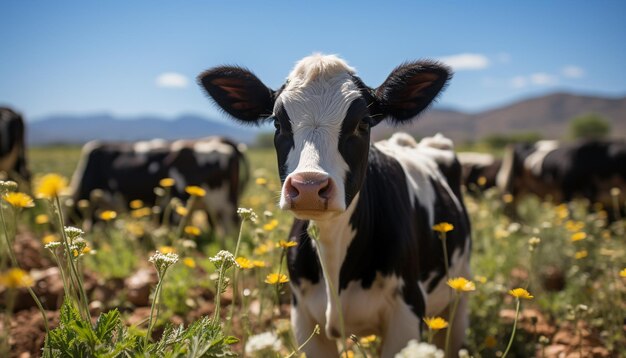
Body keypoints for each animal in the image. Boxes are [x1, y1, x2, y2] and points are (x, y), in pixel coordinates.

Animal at [197, 54, 470, 356]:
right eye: (278, 123)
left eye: (363, 123)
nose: (308, 187)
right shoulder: (303, 316)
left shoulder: (407, 313)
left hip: (459, 299)